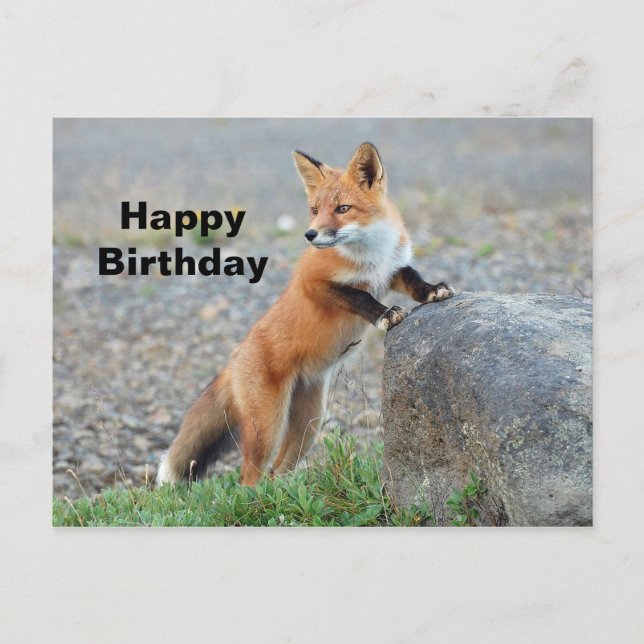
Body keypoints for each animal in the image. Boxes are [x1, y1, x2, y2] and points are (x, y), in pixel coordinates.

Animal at [157, 142, 454, 487]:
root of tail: (236, 356)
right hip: (267, 427)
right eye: (314, 210)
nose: (309, 235)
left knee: (277, 472)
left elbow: (413, 278)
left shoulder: (391, 270)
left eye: (342, 208)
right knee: (250, 478)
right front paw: (385, 315)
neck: (370, 255)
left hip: (308, 425)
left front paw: (433, 291)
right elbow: (360, 296)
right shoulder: (313, 282)